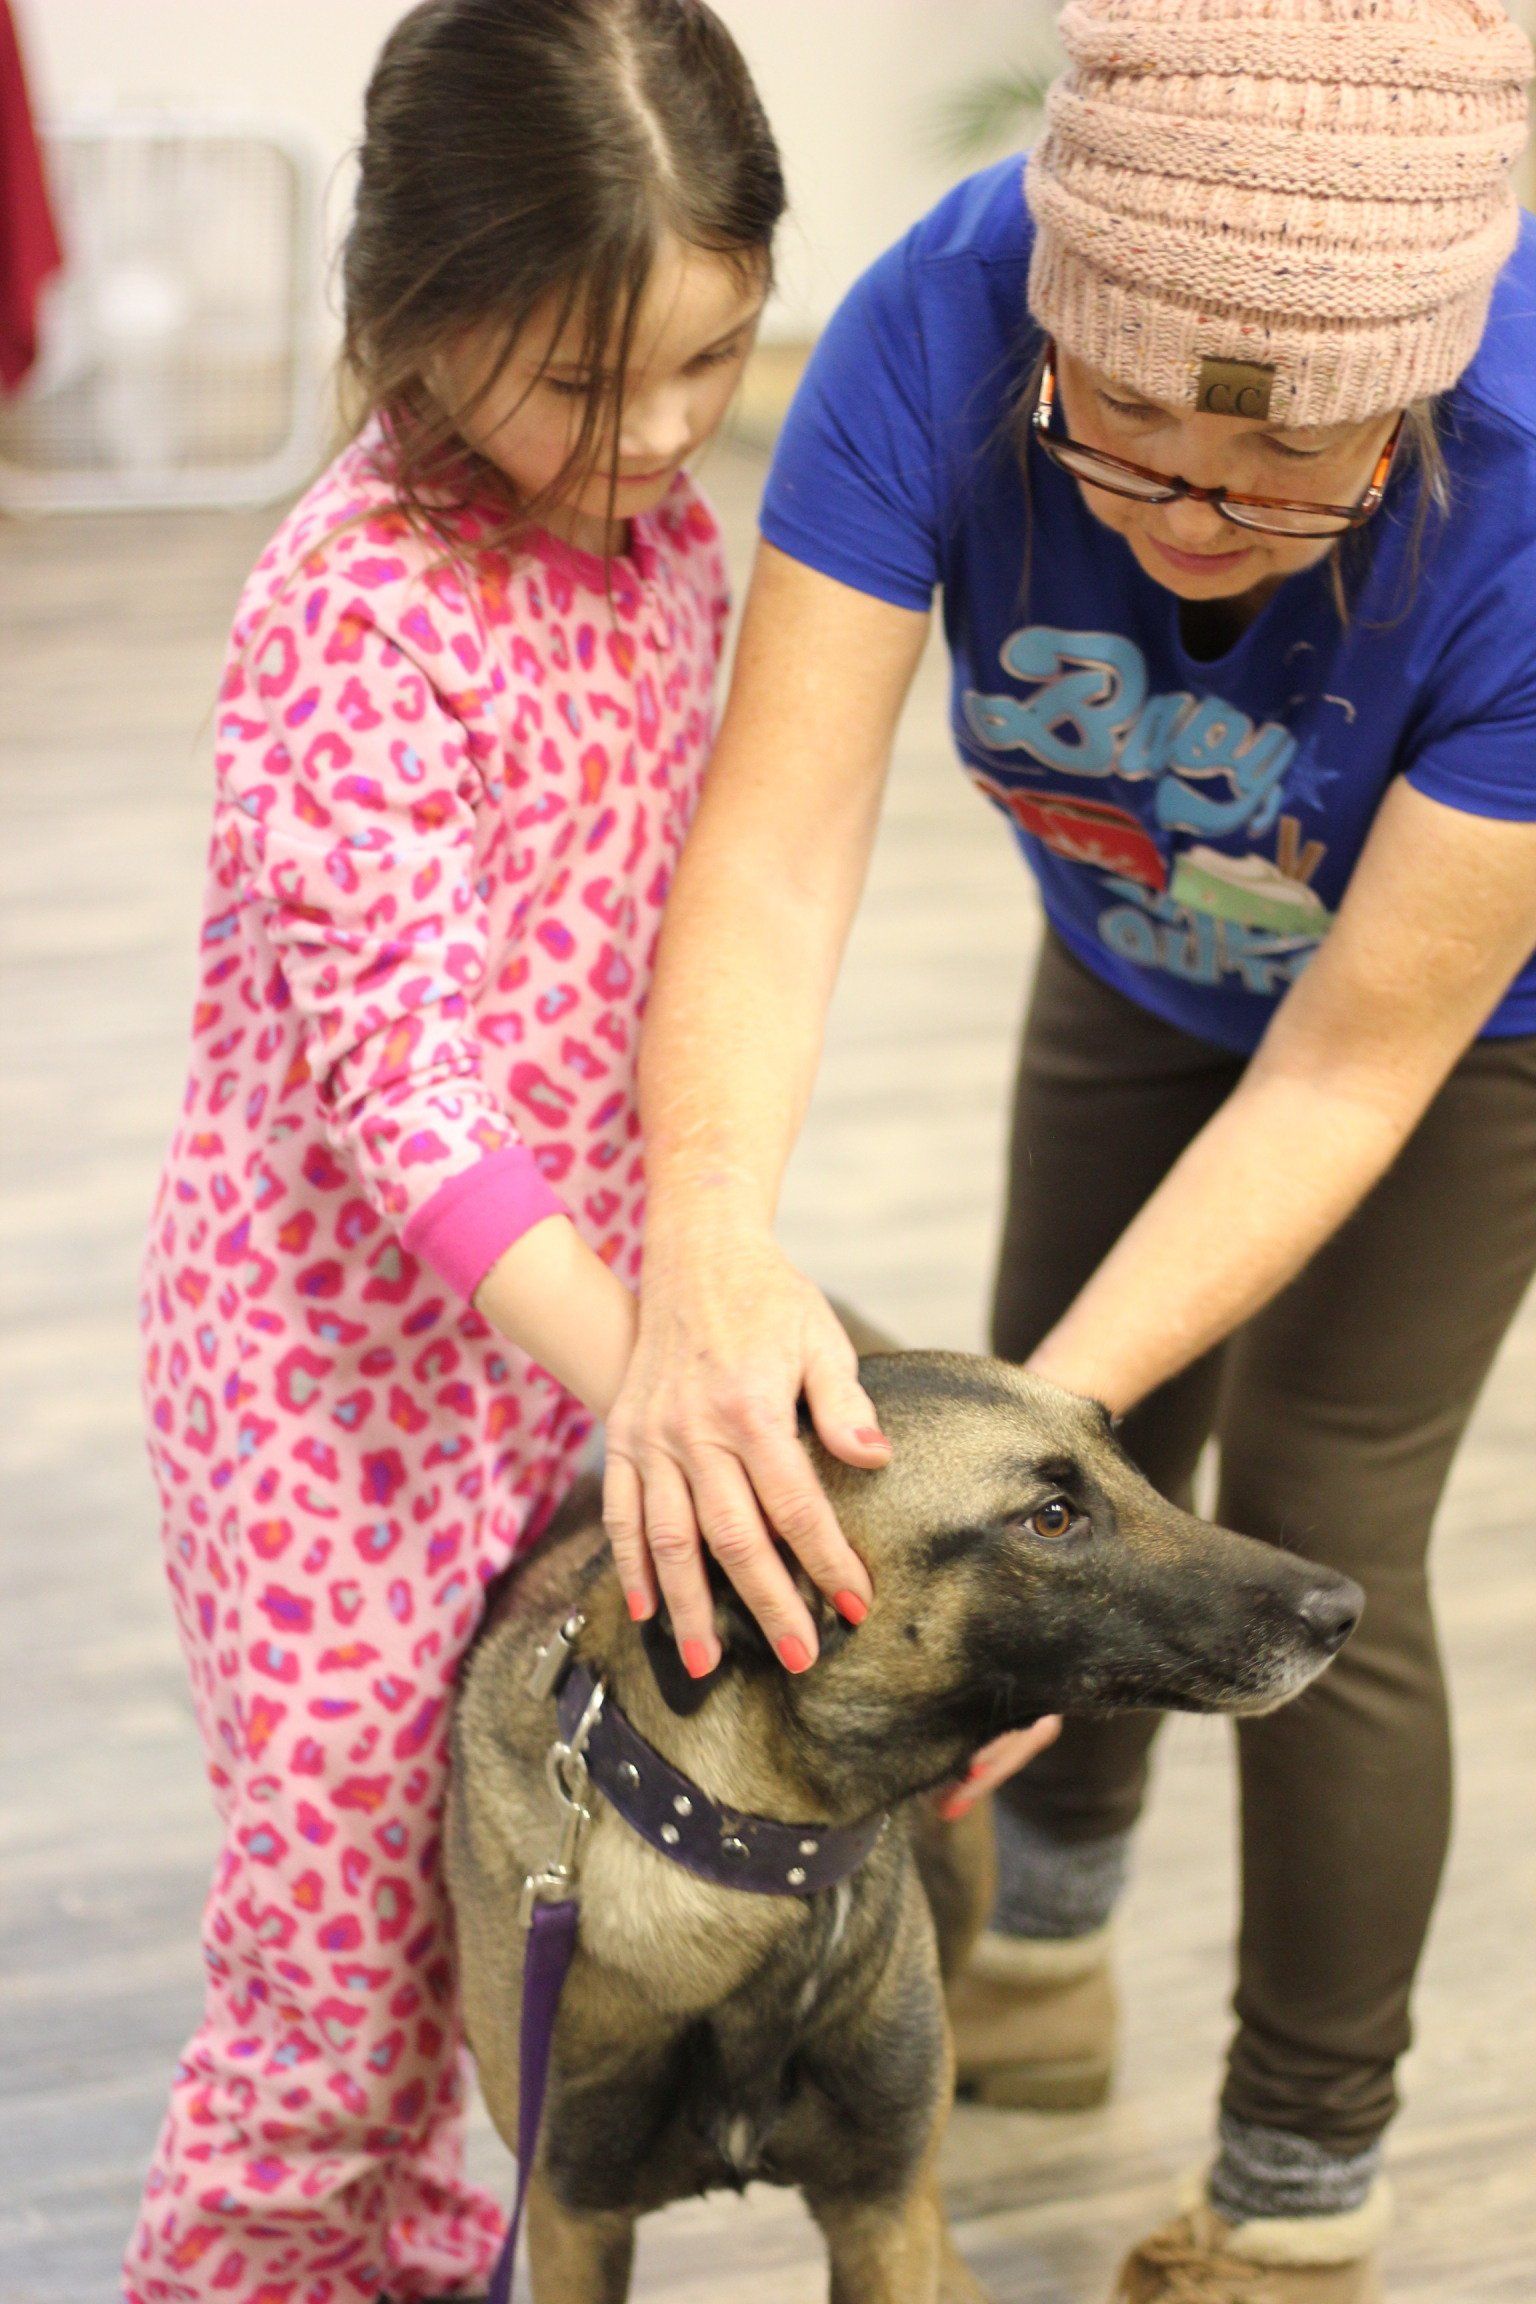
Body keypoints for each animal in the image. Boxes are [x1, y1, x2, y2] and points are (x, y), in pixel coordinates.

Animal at [447, 1350, 1361, 2303]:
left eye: (1127, 1459)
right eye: (1053, 1518)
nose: (1345, 1607)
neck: (769, 1852)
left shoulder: (875, 2209)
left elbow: (908, 2192)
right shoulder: (572, 2222)